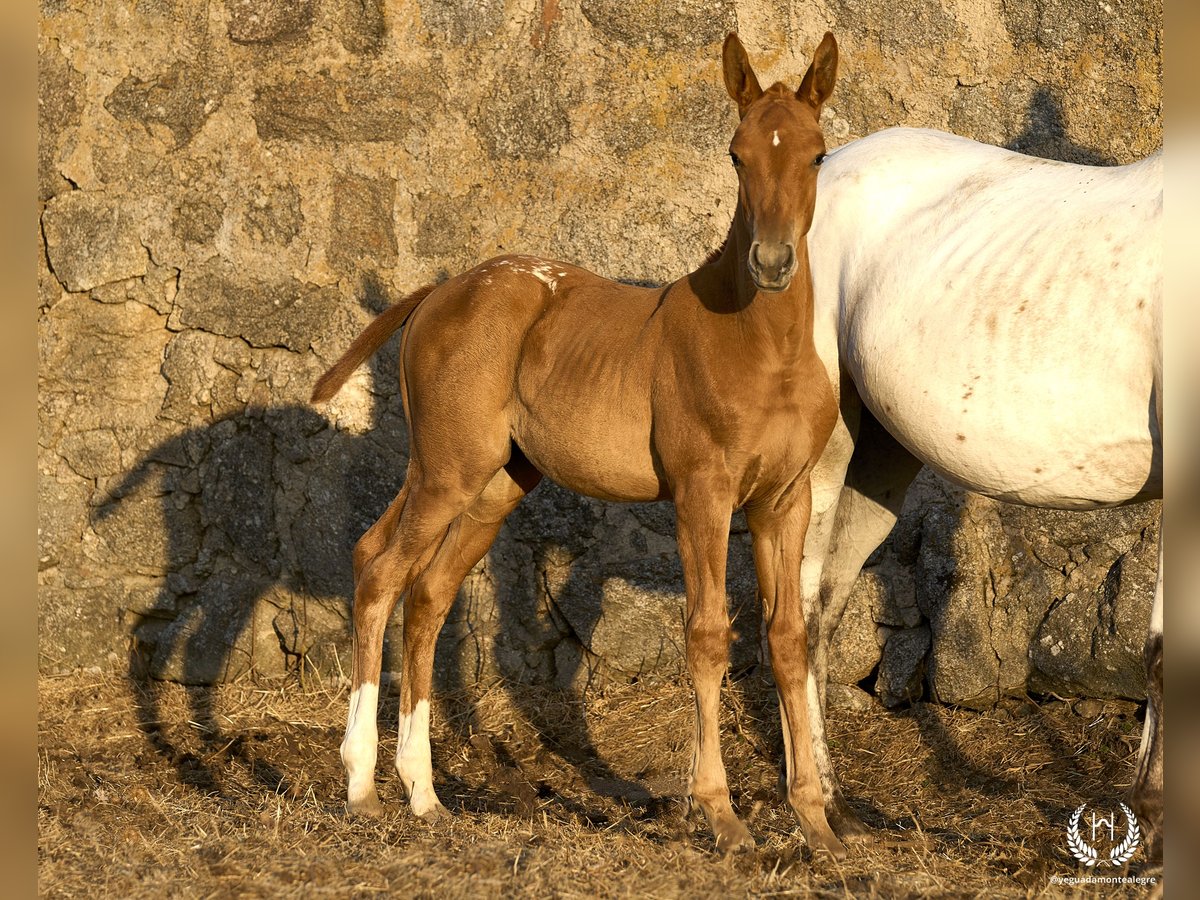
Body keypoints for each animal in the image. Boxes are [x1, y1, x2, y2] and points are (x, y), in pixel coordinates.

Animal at [314, 31, 849, 854]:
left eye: (818, 154)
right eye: (736, 155)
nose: (771, 262)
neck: (766, 349)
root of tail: (439, 292)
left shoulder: (781, 502)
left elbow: (787, 639)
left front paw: (815, 821)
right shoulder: (702, 494)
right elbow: (706, 634)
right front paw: (720, 814)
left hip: (494, 483)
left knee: (426, 591)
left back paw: (424, 793)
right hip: (447, 468)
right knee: (379, 571)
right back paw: (362, 785)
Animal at [796, 128, 1161, 859]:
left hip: (878, 455)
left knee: (825, 605)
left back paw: (839, 805)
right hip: (820, 440)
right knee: (794, 605)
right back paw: (814, 816)